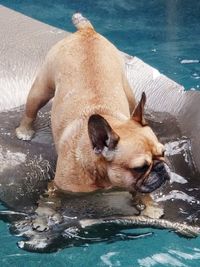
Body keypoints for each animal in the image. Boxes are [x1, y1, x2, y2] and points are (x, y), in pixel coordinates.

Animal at [15, 12, 169, 218]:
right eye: (140, 168)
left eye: (163, 153)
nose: (161, 168)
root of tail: (86, 31)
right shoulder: (56, 187)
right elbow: (50, 201)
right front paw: (43, 217)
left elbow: (144, 193)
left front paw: (151, 207)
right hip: (41, 89)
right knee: (30, 111)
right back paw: (25, 130)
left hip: (128, 92)